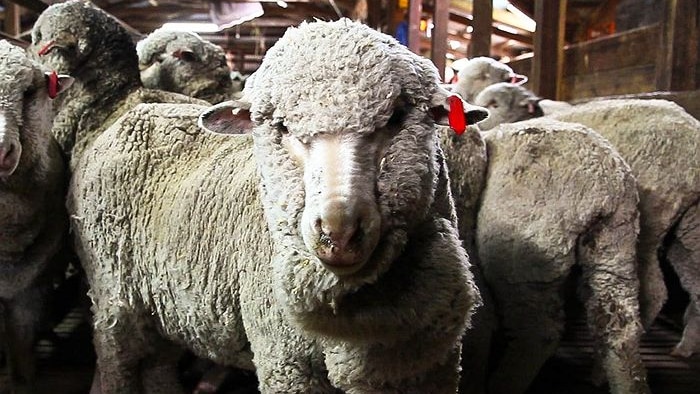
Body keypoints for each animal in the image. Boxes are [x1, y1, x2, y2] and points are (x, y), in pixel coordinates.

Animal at [68, 16, 490, 392]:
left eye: (397, 116)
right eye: (281, 126)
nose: (338, 234)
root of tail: (134, 114)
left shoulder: (428, 365)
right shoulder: (286, 363)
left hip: (164, 303)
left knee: (158, 365)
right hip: (113, 297)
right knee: (117, 361)